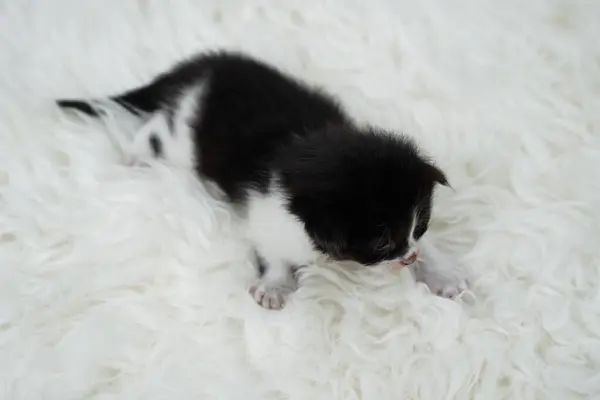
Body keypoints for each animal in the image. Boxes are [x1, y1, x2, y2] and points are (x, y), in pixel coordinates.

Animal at [57, 48, 468, 308]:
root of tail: (202, 68)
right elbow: (272, 250)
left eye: (420, 225)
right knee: (157, 126)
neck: (318, 155)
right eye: (382, 242)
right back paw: (135, 156)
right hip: (182, 143)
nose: (409, 257)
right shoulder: (266, 212)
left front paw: (443, 275)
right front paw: (274, 286)